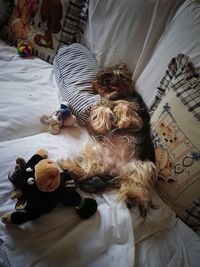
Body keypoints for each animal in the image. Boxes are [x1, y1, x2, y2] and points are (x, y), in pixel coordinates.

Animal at [59, 63, 158, 220]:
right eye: (103, 76)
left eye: (111, 75)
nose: (104, 80)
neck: (116, 94)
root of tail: (114, 170)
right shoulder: (102, 103)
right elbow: (102, 107)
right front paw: (102, 122)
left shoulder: (138, 113)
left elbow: (125, 105)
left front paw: (124, 119)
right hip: (98, 151)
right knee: (89, 169)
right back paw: (71, 167)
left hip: (144, 165)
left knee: (137, 184)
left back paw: (132, 195)